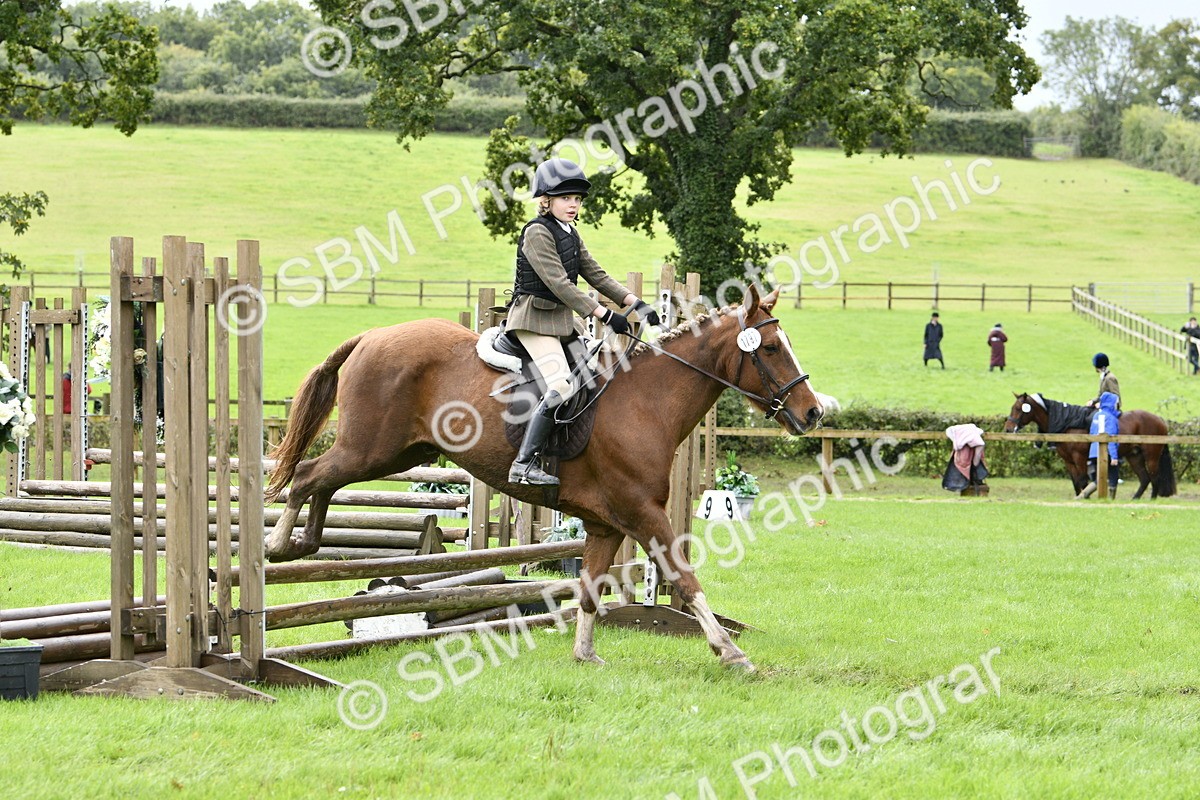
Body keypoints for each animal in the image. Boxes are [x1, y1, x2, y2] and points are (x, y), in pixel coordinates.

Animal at [263, 285, 824, 671]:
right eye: (770, 349)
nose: (814, 412)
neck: (647, 401)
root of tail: (370, 336)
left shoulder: (607, 524)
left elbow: (591, 589)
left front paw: (585, 655)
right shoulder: (644, 512)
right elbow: (684, 578)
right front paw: (730, 652)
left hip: (396, 454)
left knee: (321, 480)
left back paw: (303, 544)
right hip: (370, 450)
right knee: (309, 474)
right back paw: (279, 544)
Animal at [1003, 392, 1176, 499]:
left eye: (1018, 408)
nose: (1008, 429)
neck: (1069, 424)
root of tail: (1160, 420)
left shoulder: (1079, 458)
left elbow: (1082, 480)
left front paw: (1085, 496)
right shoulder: (1069, 461)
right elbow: (1075, 482)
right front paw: (1079, 496)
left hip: (1151, 456)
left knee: (1154, 477)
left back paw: (1151, 499)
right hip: (1134, 456)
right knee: (1145, 479)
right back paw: (1135, 498)